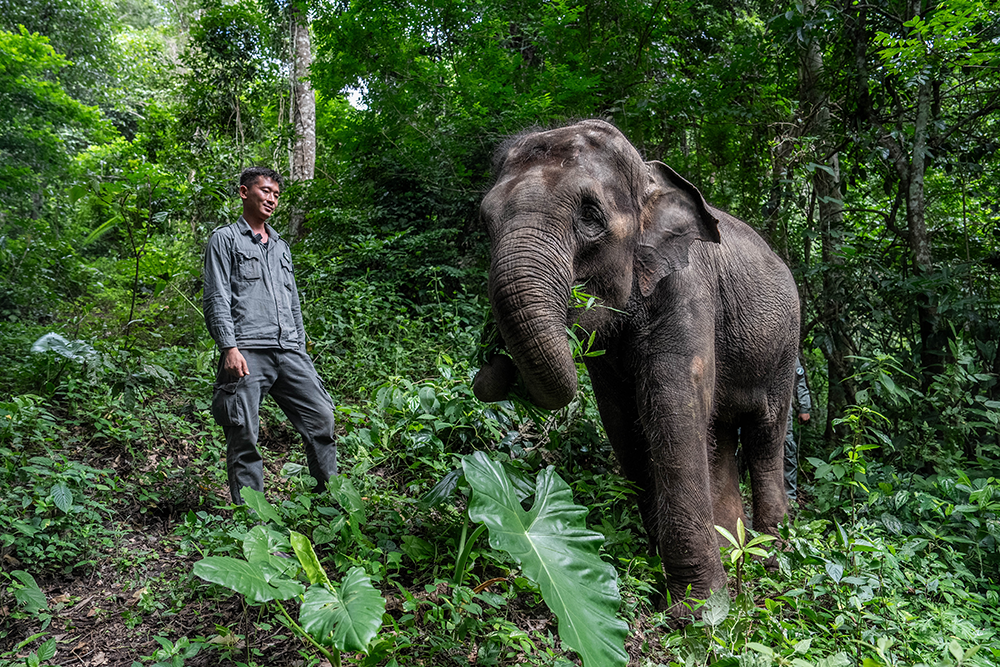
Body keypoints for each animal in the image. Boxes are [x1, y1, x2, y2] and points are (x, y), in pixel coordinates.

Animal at [472, 118, 800, 620]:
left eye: (590, 217)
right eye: (486, 222)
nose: (492, 357)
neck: (648, 177)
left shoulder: (688, 289)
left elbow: (672, 409)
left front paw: (698, 612)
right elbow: (623, 421)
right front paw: (665, 577)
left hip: (785, 350)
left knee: (766, 436)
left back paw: (770, 555)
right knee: (721, 435)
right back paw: (735, 553)